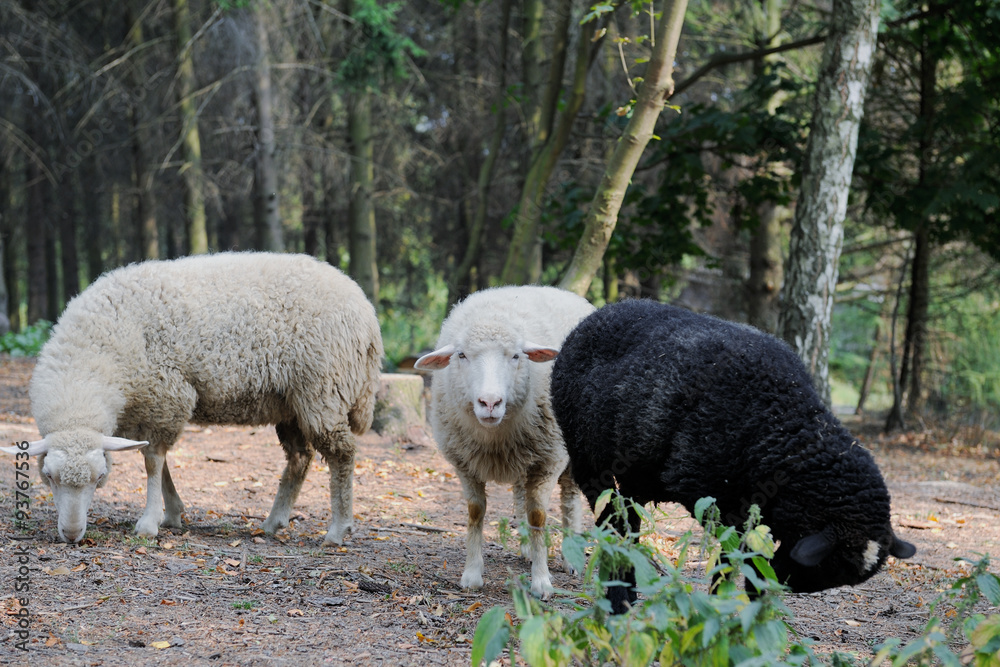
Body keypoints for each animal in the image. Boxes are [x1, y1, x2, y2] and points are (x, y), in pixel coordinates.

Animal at [1, 252, 383, 545]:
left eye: (99, 479)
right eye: (48, 477)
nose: (71, 534)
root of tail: (366, 311)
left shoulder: (167, 395)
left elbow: (153, 461)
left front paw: (150, 522)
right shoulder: (146, 409)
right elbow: (157, 460)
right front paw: (172, 512)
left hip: (322, 390)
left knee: (341, 453)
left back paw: (338, 530)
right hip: (291, 403)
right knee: (300, 458)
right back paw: (274, 522)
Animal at [414, 286, 594, 598]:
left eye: (516, 356)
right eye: (461, 355)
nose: (490, 402)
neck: (494, 438)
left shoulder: (548, 461)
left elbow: (538, 516)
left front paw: (541, 582)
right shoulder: (464, 464)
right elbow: (475, 512)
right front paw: (472, 574)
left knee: (570, 499)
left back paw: (571, 557)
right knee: (520, 493)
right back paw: (527, 549)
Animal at [549, 299, 916, 612]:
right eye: (829, 564)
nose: (783, 583)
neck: (779, 426)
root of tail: (595, 315)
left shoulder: (758, 509)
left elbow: (749, 558)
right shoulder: (712, 499)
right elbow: (734, 557)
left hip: (632, 473)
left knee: (629, 520)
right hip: (589, 463)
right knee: (612, 524)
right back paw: (619, 598)